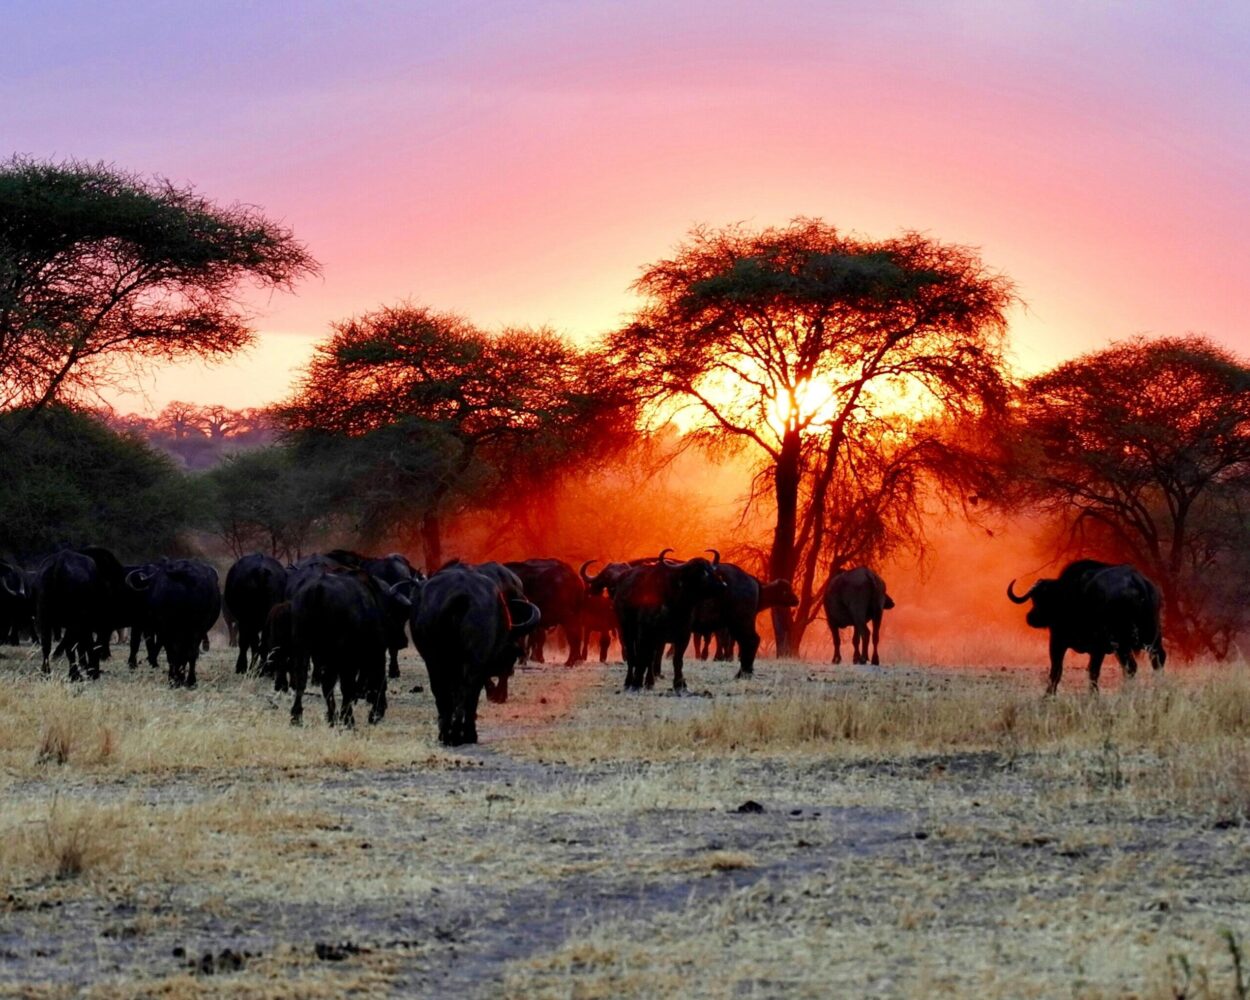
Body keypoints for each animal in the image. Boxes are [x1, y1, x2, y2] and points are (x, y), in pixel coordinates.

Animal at [286, 570, 405, 725]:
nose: (403, 641)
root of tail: (318, 589)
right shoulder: (365, 655)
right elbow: (357, 684)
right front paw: (348, 717)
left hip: (302, 646)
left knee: (302, 679)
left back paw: (298, 716)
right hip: (339, 655)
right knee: (339, 684)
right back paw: (344, 718)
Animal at [407, 562, 540, 740]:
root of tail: (461, 596)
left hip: (436, 659)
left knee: (446, 690)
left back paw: (449, 732)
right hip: (470, 659)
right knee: (469, 690)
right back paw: (467, 732)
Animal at [1000, 557, 1165, 690]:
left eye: (1042, 600)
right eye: (1034, 598)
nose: (1031, 618)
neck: (1067, 595)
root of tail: (1138, 582)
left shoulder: (1059, 641)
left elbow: (1058, 671)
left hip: (1120, 643)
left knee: (1130, 667)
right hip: (1152, 637)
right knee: (1156, 661)